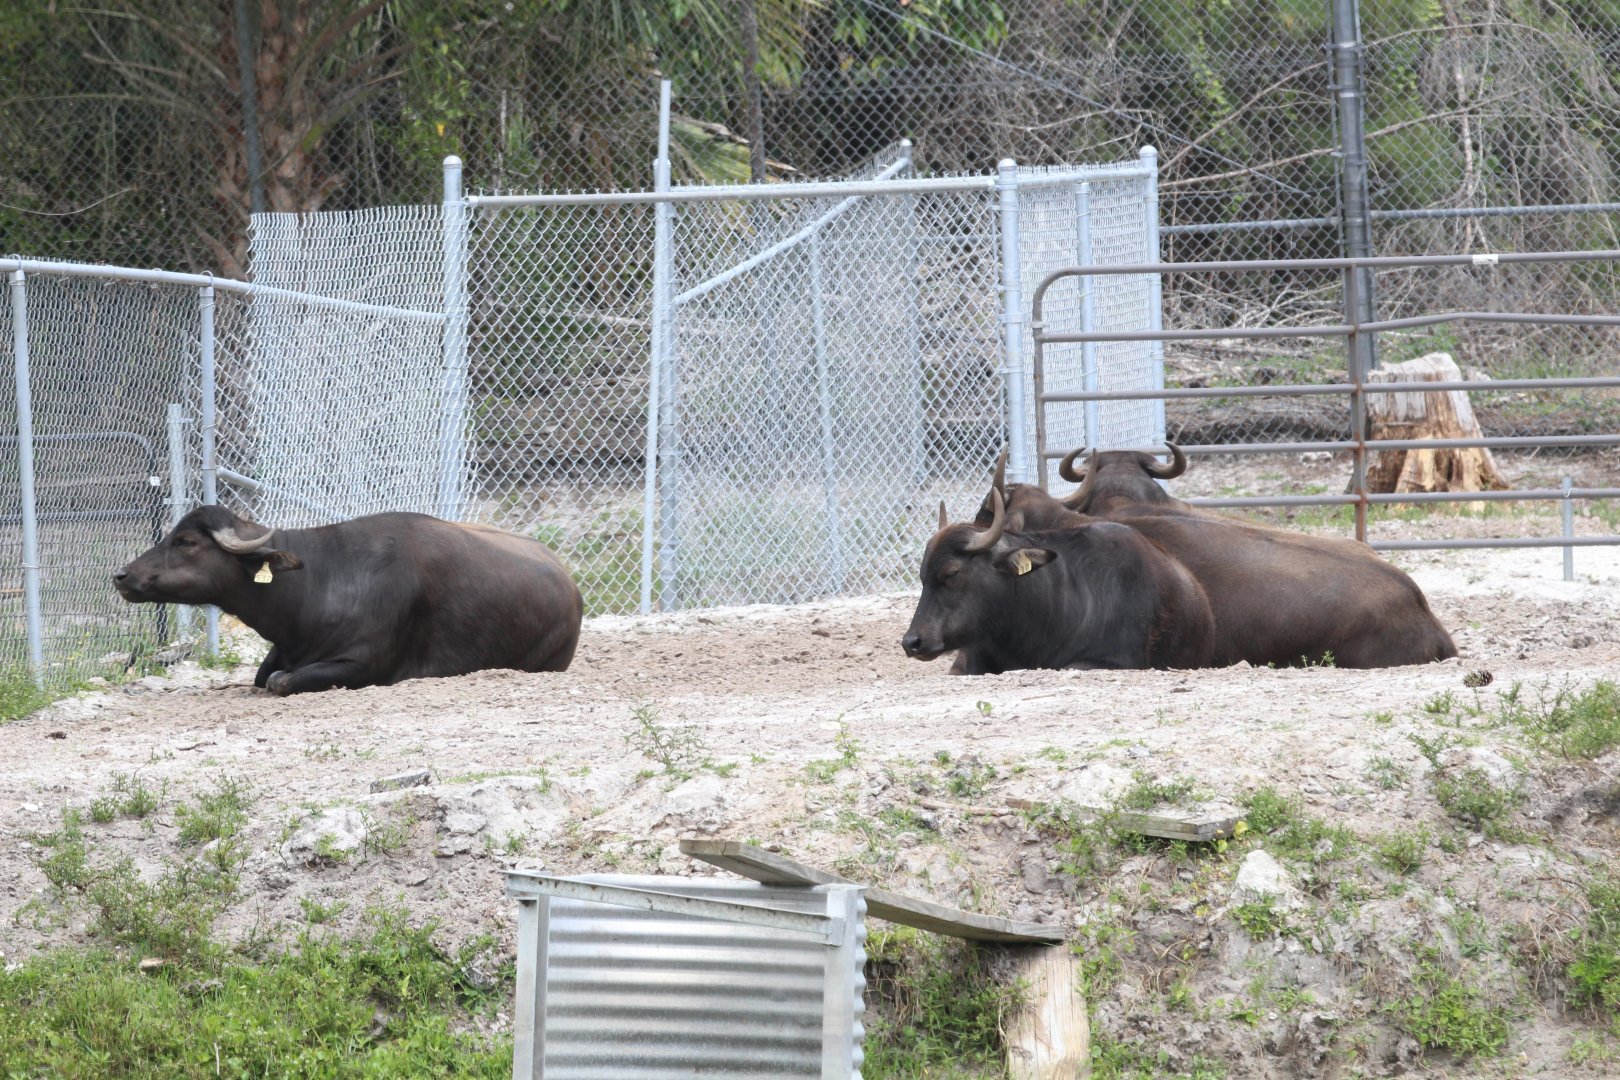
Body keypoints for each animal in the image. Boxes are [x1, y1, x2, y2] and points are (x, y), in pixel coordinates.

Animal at [114, 506, 582, 695]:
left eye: (187, 541)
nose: (122, 575)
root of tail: (571, 588)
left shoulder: (362, 664)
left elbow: (280, 681)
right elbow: (263, 675)